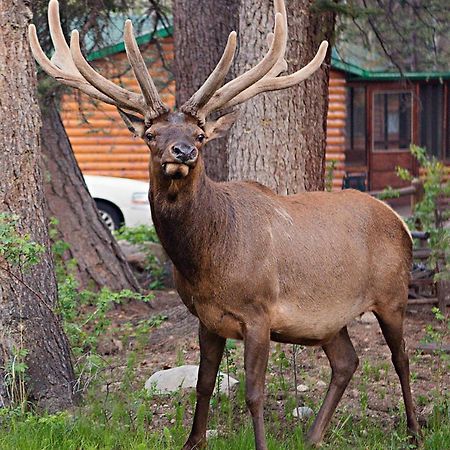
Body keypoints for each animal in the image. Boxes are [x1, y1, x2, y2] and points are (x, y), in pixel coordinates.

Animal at [29, 0, 420, 446]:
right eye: (151, 134)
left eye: (200, 134)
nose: (182, 152)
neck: (207, 262)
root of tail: (401, 221)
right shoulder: (207, 317)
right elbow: (204, 384)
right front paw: (192, 441)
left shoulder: (260, 312)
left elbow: (253, 391)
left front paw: (261, 444)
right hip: (330, 319)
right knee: (347, 361)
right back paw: (312, 436)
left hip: (392, 294)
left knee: (401, 357)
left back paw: (414, 430)